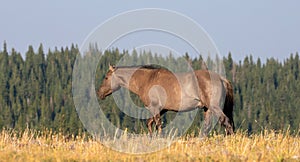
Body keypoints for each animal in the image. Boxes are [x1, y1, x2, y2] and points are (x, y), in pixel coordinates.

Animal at [96, 64, 234, 137]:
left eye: (106, 77)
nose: (99, 93)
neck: (147, 80)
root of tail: (221, 78)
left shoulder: (155, 108)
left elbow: (158, 126)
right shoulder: (162, 109)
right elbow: (150, 124)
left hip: (214, 107)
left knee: (225, 121)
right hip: (207, 109)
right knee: (207, 127)